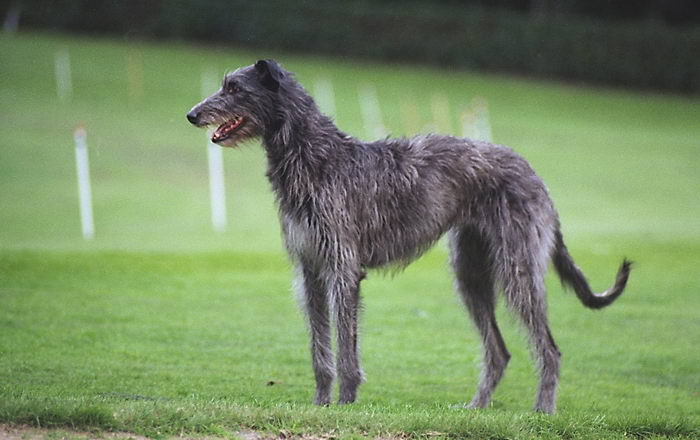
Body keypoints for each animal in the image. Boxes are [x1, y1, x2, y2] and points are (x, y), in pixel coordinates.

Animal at [187, 59, 636, 412]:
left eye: (234, 88)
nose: (191, 115)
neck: (314, 156)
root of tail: (535, 174)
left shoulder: (343, 269)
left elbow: (346, 350)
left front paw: (345, 405)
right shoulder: (310, 270)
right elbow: (320, 349)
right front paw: (320, 404)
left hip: (518, 269)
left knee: (549, 349)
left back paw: (542, 411)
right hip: (470, 273)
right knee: (499, 351)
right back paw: (475, 409)